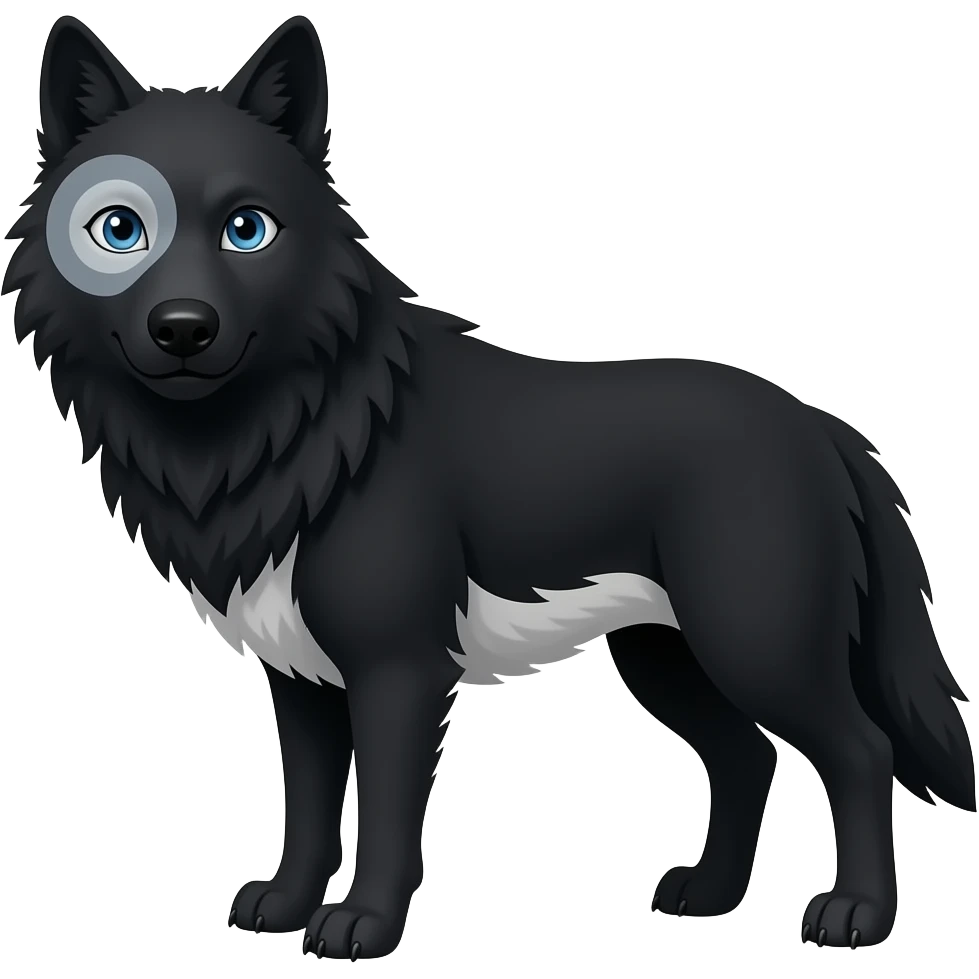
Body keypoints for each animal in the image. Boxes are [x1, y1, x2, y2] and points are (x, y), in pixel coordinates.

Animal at [3, 12, 974, 961]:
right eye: (119, 229)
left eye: (249, 229)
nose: (183, 329)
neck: (293, 432)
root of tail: (823, 426)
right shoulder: (300, 678)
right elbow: (309, 805)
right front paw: (282, 904)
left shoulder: (398, 669)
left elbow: (386, 812)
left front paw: (362, 926)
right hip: (665, 657)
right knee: (746, 758)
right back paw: (706, 896)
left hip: (756, 644)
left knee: (858, 750)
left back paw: (855, 915)